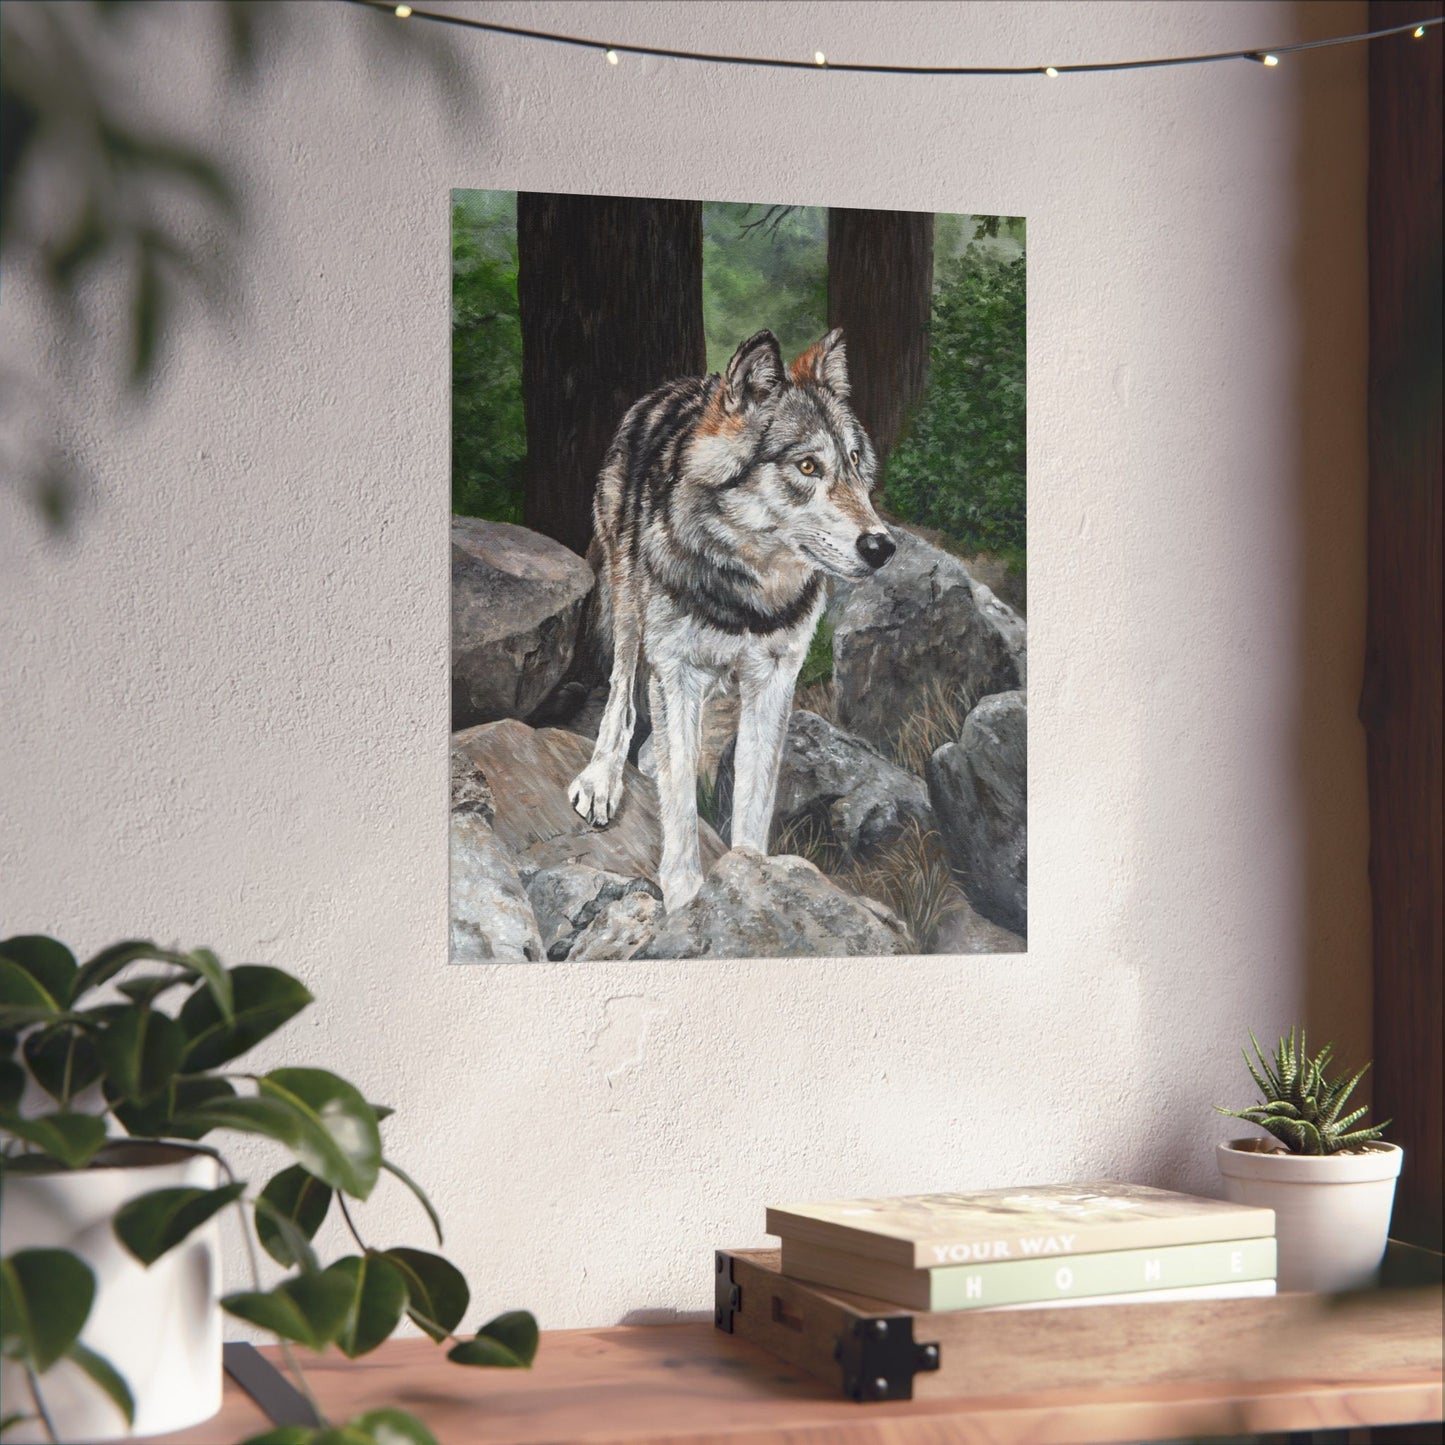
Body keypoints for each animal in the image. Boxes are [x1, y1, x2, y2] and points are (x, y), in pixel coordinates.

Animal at [568, 327, 896, 912]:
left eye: (856, 461)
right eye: (807, 467)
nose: (883, 547)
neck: (748, 593)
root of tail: (679, 385)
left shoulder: (775, 679)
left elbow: (753, 795)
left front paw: (752, 879)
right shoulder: (676, 668)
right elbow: (678, 799)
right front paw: (685, 898)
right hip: (627, 602)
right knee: (622, 692)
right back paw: (603, 776)